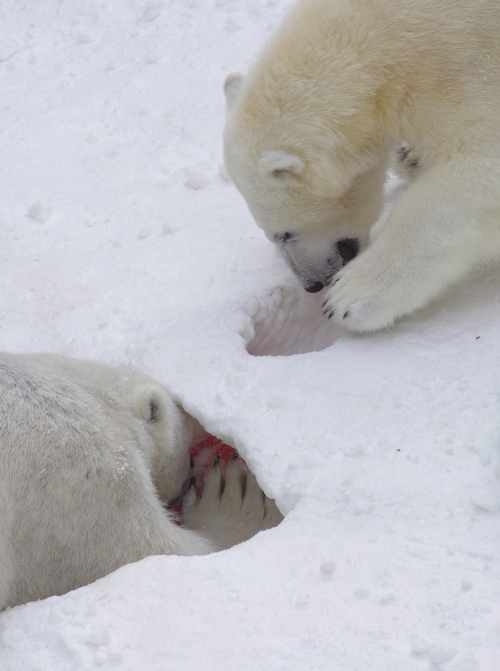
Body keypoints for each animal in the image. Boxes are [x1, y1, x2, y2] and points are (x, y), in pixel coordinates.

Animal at [225, 0, 500, 334]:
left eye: (283, 234)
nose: (311, 285)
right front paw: (409, 155)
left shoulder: (469, 61)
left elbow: (479, 168)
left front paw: (348, 298)